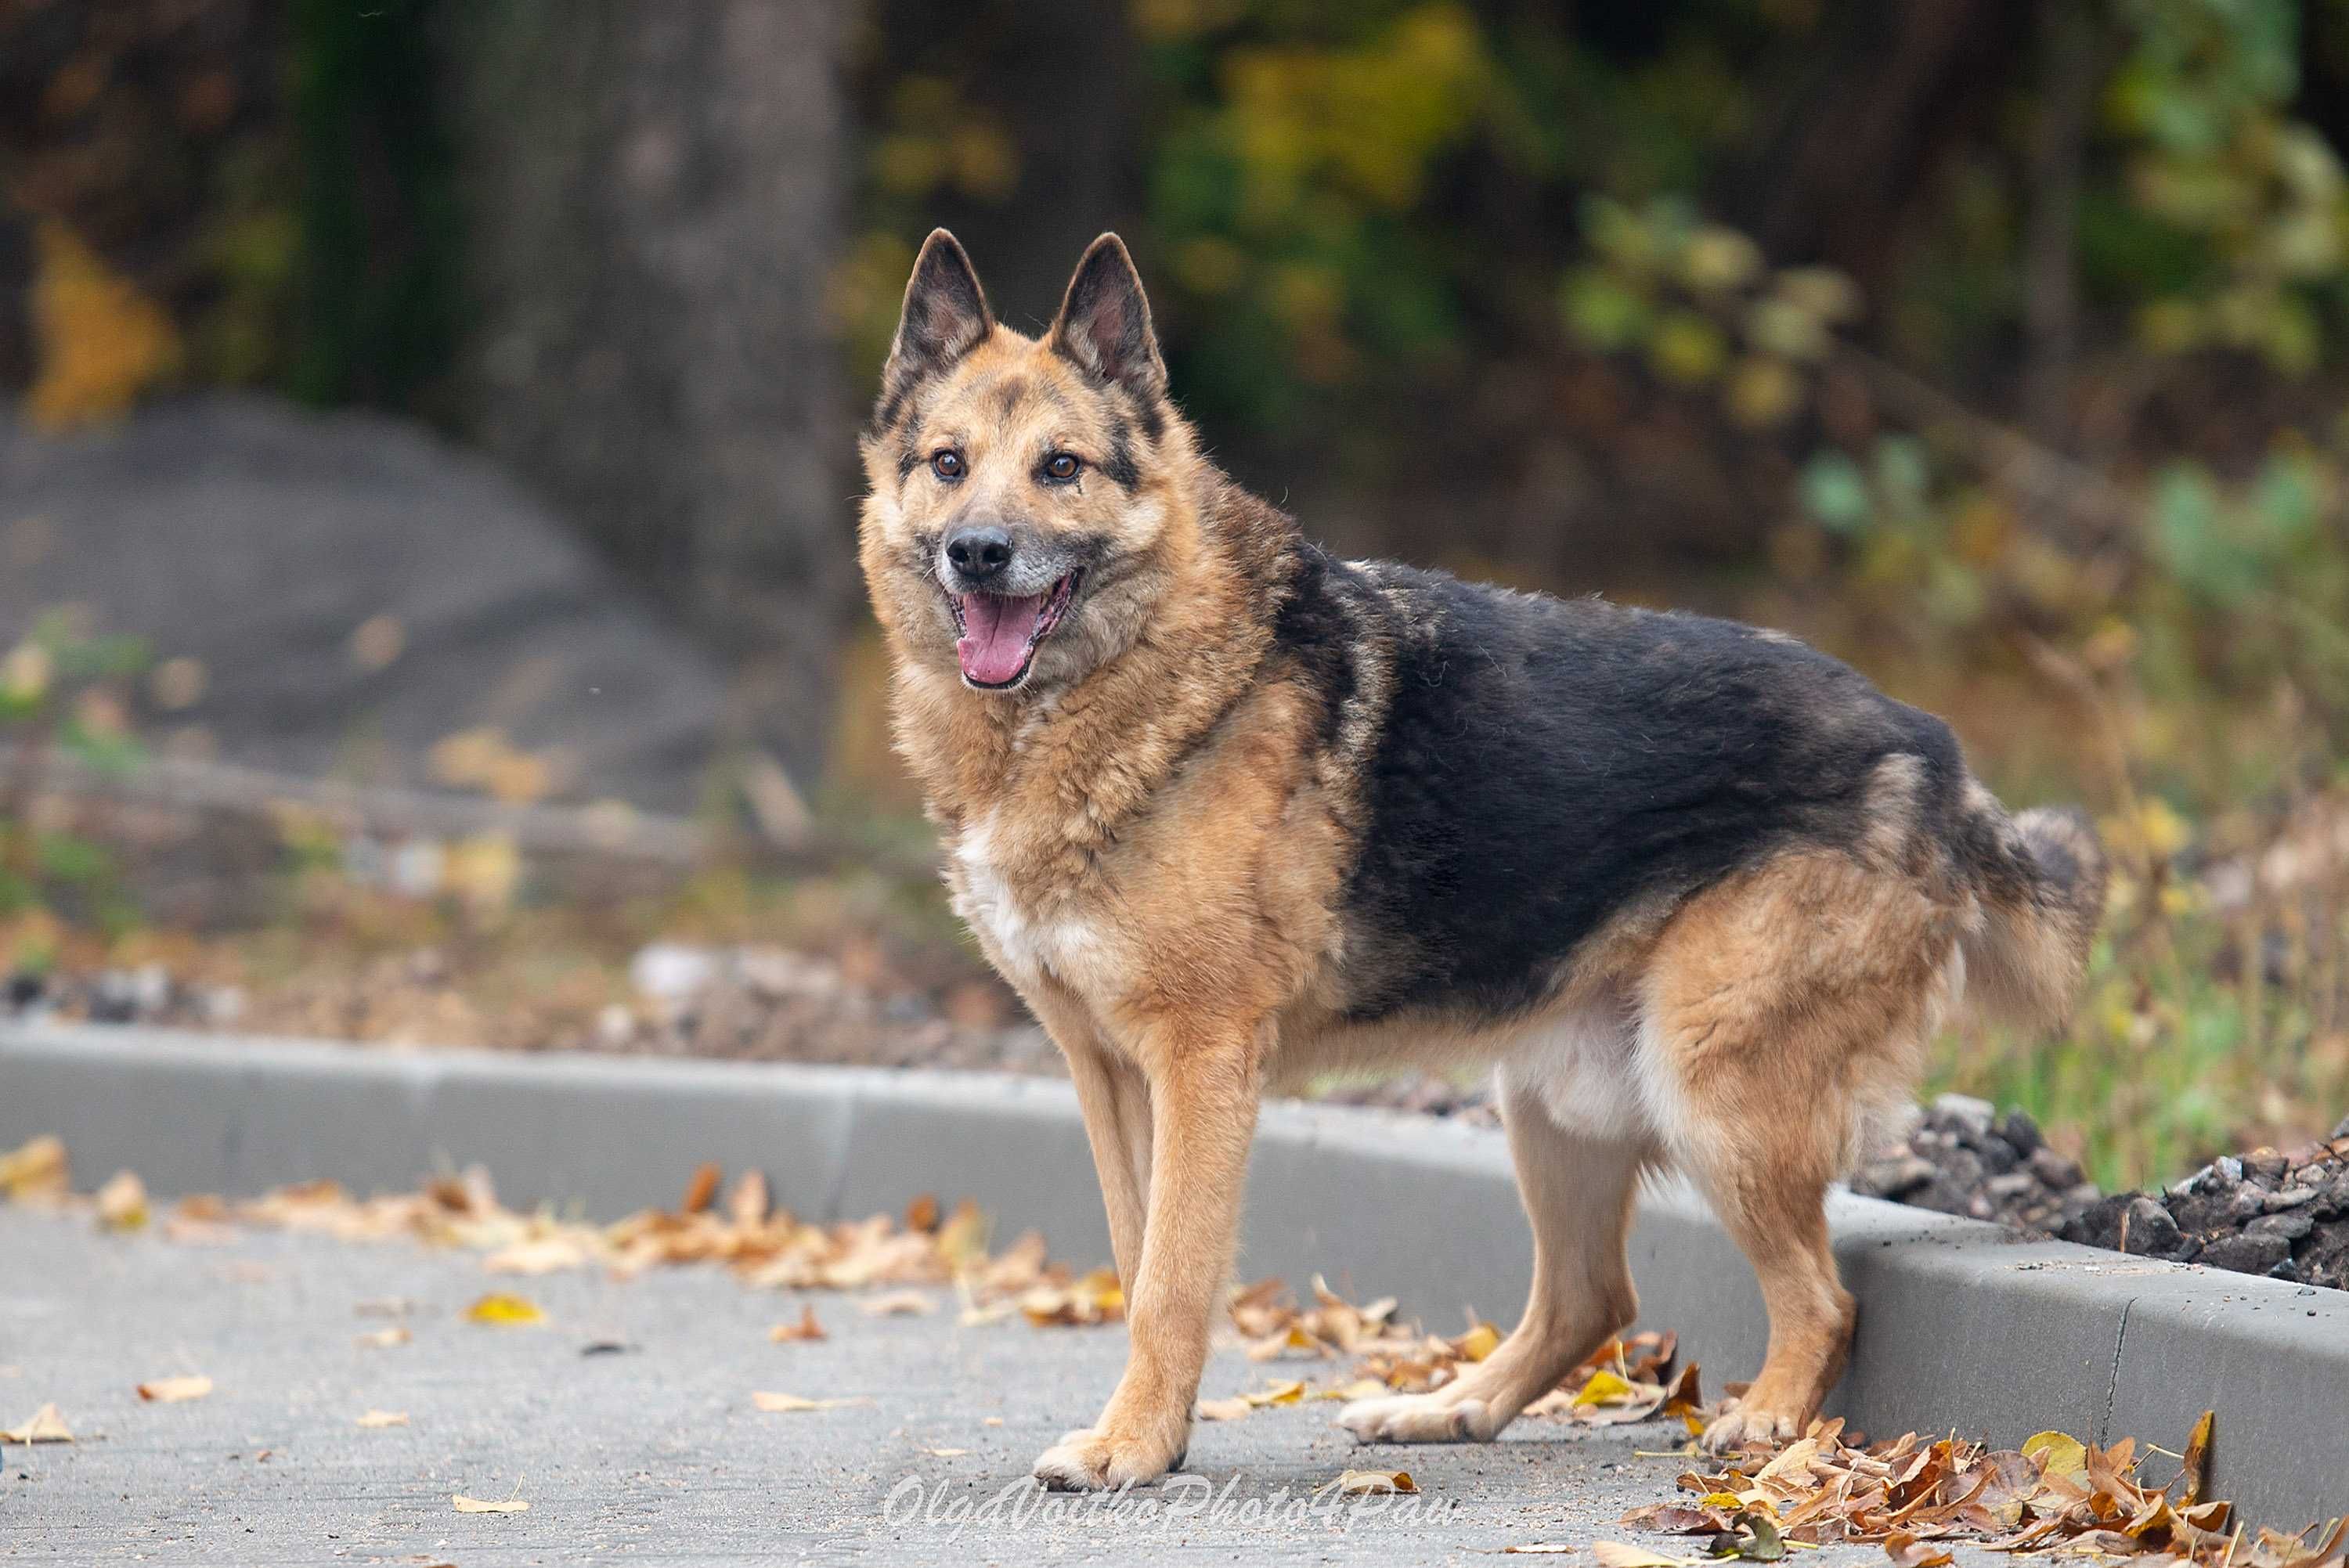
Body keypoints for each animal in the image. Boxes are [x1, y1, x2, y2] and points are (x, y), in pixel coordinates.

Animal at [864, 226, 2114, 1493]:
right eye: (949, 464)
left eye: (1060, 467)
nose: (978, 552)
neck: (1111, 692)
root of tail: (1930, 750)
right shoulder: (1109, 1072)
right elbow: (1135, 1264)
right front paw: (1149, 1432)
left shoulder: (1200, 1062)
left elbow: (1170, 1278)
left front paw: (1134, 1445)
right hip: (1555, 1106)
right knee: (1591, 1298)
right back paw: (1448, 1408)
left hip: (1712, 1091)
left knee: (1822, 1298)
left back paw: (1765, 1426)